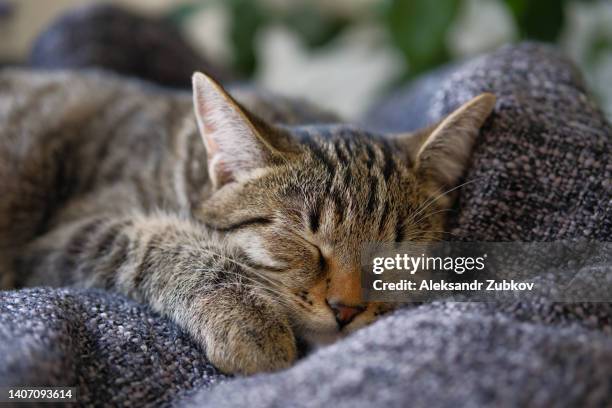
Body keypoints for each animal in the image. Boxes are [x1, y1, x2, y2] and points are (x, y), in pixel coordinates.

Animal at [0, 68, 494, 374]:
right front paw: (247, 319)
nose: (347, 309)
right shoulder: (62, 237)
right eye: (304, 241)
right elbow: (158, 243)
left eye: (396, 256)